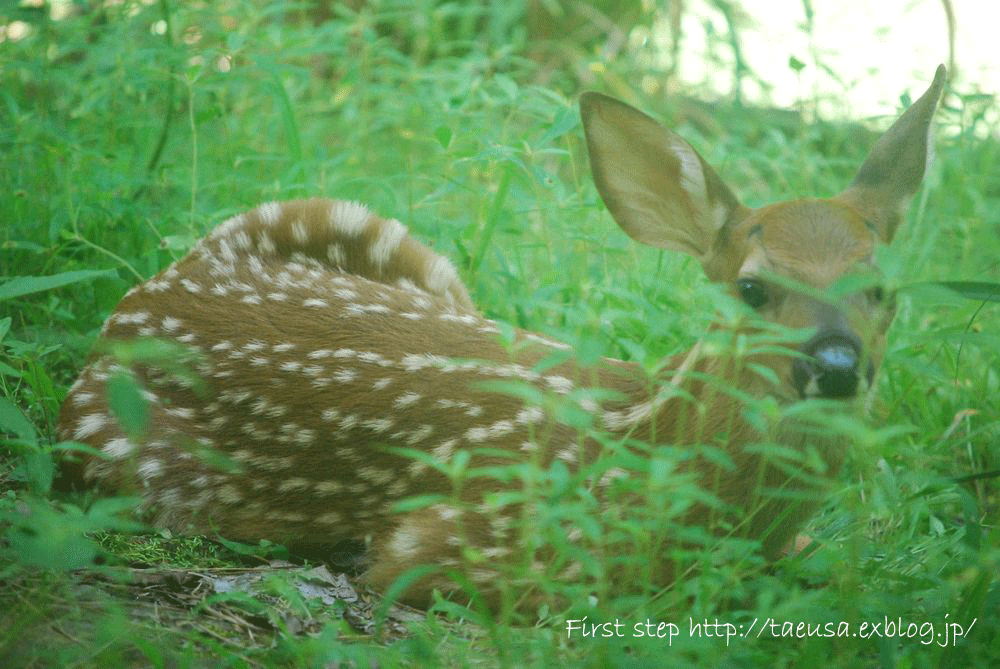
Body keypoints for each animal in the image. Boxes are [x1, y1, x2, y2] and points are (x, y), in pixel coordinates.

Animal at [58, 66, 948, 612]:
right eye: (754, 287)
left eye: (884, 289)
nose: (837, 365)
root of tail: (140, 302)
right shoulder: (466, 544)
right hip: (123, 462)